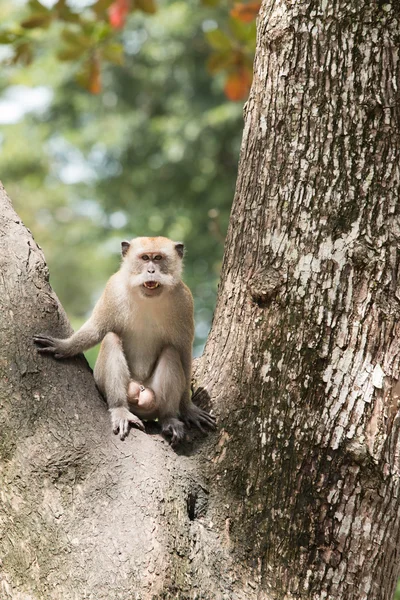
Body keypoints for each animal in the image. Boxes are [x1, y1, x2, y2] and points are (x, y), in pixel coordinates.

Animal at [34, 236, 216, 446]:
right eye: (145, 258)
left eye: (158, 258)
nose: (151, 271)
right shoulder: (113, 288)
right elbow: (96, 329)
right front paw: (64, 346)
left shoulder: (184, 300)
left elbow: (183, 351)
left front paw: (187, 408)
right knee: (111, 339)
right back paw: (120, 409)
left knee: (171, 352)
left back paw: (169, 418)